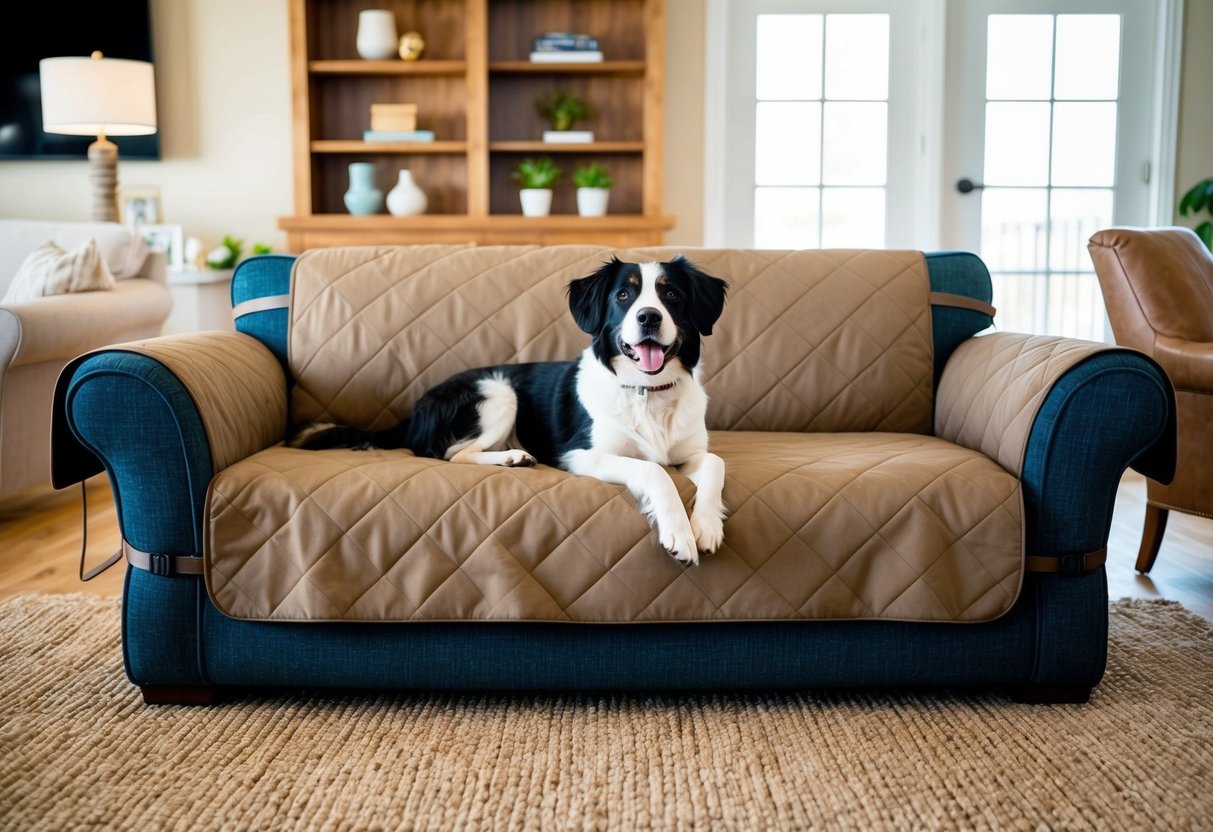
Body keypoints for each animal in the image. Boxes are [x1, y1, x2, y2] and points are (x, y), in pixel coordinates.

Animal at [291, 255, 727, 567]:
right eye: (624, 296)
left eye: (672, 296)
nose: (648, 317)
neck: (647, 392)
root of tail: (415, 409)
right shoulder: (579, 454)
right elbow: (653, 470)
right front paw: (679, 534)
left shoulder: (690, 452)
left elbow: (716, 463)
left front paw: (705, 526)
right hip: (499, 391)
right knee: (453, 454)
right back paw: (511, 456)